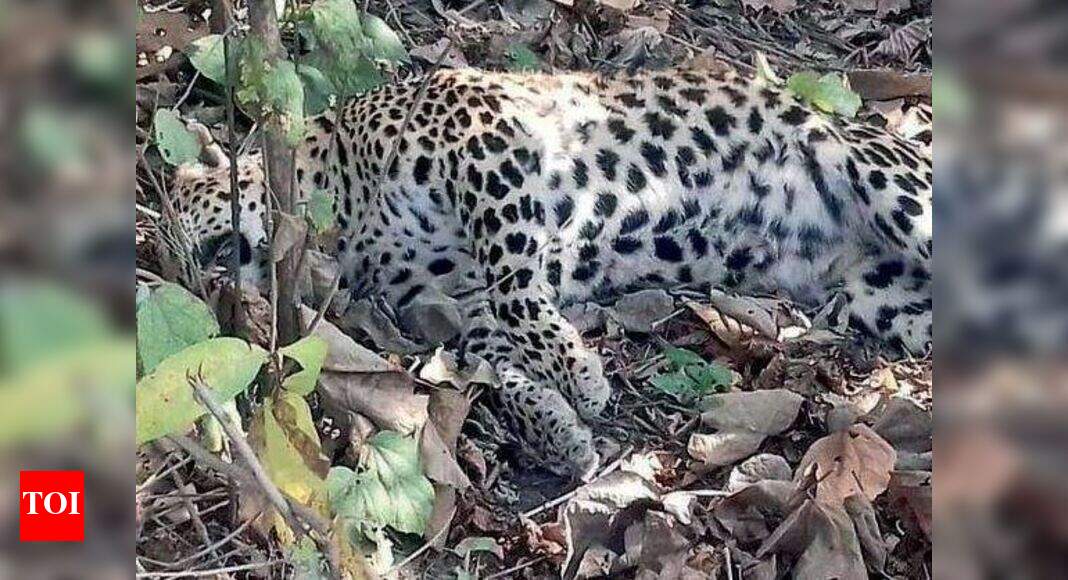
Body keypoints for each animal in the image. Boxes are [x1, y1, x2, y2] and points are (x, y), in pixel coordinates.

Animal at [172, 65, 933, 478]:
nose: (206, 295)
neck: (344, 217)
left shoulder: (480, 141)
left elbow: (515, 284)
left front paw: (580, 377)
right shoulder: (455, 299)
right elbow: (492, 363)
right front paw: (557, 429)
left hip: (891, 184)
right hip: (883, 299)